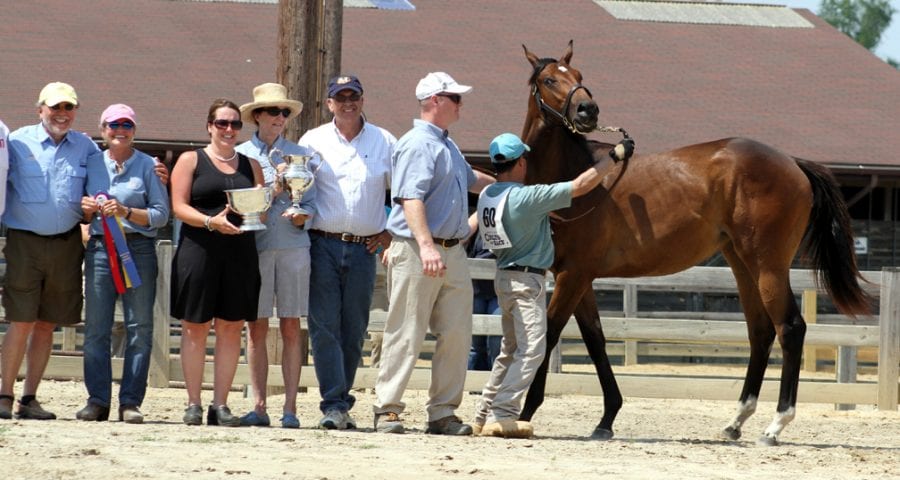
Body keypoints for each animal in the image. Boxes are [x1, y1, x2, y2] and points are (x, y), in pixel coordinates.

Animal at [520, 41, 872, 446]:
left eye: (579, 77)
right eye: (549, 79)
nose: (587, 110)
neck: (577, 179)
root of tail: (793, 162)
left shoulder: (573, 275)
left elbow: (549, 334)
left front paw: (524, 412)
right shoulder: (578, 277)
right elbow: (595, 339)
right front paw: (606, 418)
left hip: (768, 265)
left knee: (790, 328)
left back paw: (775, 425)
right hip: (742, 264)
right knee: (761, 331)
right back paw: (736, 421)